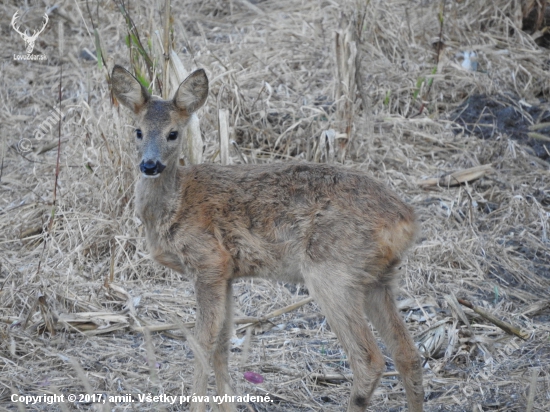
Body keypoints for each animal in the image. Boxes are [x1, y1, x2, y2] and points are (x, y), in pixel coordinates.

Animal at [110, 65, 424, 412]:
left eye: (173, 133)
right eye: (138, 131)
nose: (150, 165)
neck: (174, 205)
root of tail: (405, 220)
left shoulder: (208, 262)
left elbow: (202, 342)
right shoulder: (227, 273)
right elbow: (222, 344)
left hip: (332, 272)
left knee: (369, 359)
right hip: (379, 279)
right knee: (408, 354)